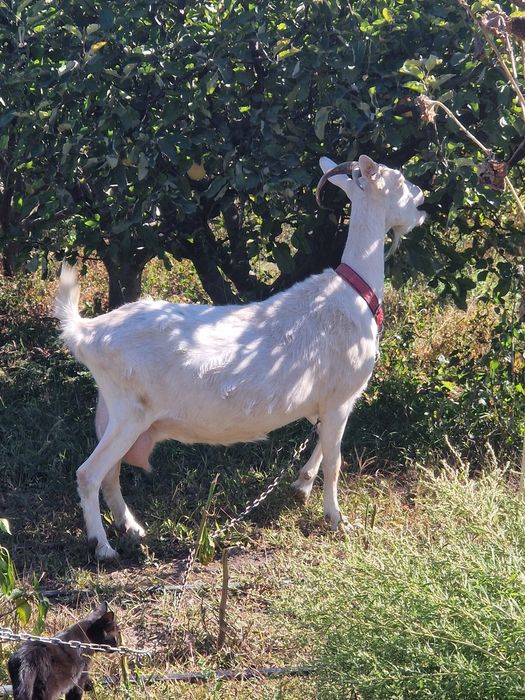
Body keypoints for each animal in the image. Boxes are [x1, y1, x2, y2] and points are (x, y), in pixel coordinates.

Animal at [54, 154, 426, 560]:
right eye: (399, 179)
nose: (422, 197)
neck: (355, 293)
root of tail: (87, 332)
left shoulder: (326, 402)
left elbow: (322, 445)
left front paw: (301, 484)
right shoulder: (341, 396)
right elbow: (335, 460)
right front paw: (336, 519)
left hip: (113, 410)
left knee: (110, 474)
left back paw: (132, 528)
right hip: (130, 412)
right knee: (89, 472)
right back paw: (103, 546)